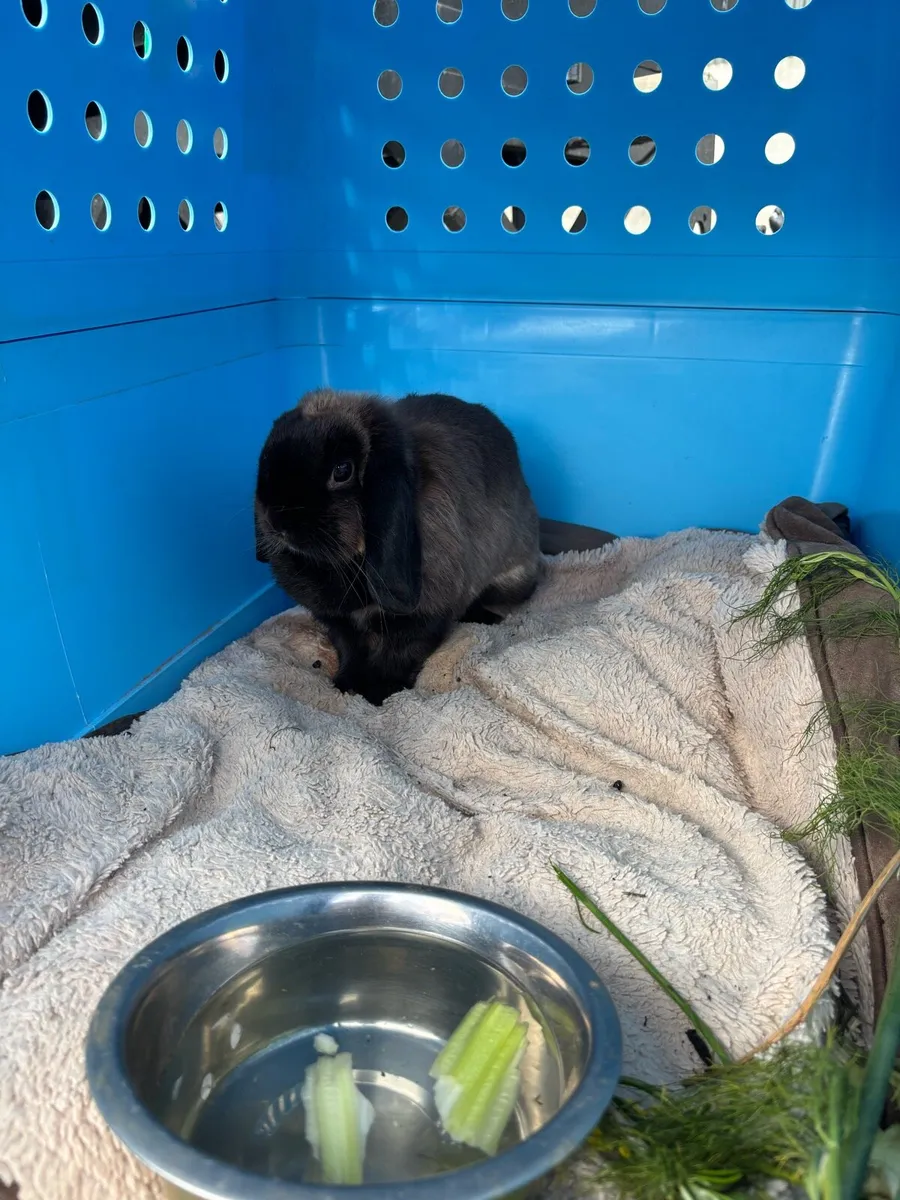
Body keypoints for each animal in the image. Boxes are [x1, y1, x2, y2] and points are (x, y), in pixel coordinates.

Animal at [254, 388, 543, 706]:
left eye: (342, 471)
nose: (276, 519)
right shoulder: (339, 622)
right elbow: (350, 648)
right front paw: (347, 683)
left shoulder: (423, 617)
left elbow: (400, 653)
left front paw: (378, 692)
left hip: (512, 578)